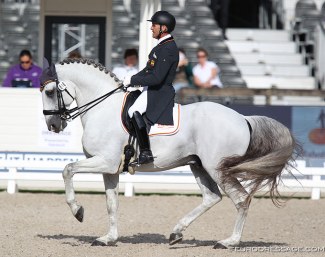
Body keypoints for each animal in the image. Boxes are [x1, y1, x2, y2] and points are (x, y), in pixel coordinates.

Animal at [39, 58, 298, 248]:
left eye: (50, 91)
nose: (52, 125)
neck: (103, 108)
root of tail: (243, 118)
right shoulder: (111, 169)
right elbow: (112, 204)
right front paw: (108, 238)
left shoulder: (104, 161)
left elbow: (67, 170)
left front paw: (78, 211)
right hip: (198, 165)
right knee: (212, 197)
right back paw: (176, 233)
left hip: (217, 168)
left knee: (241, 199)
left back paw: (229, 242)